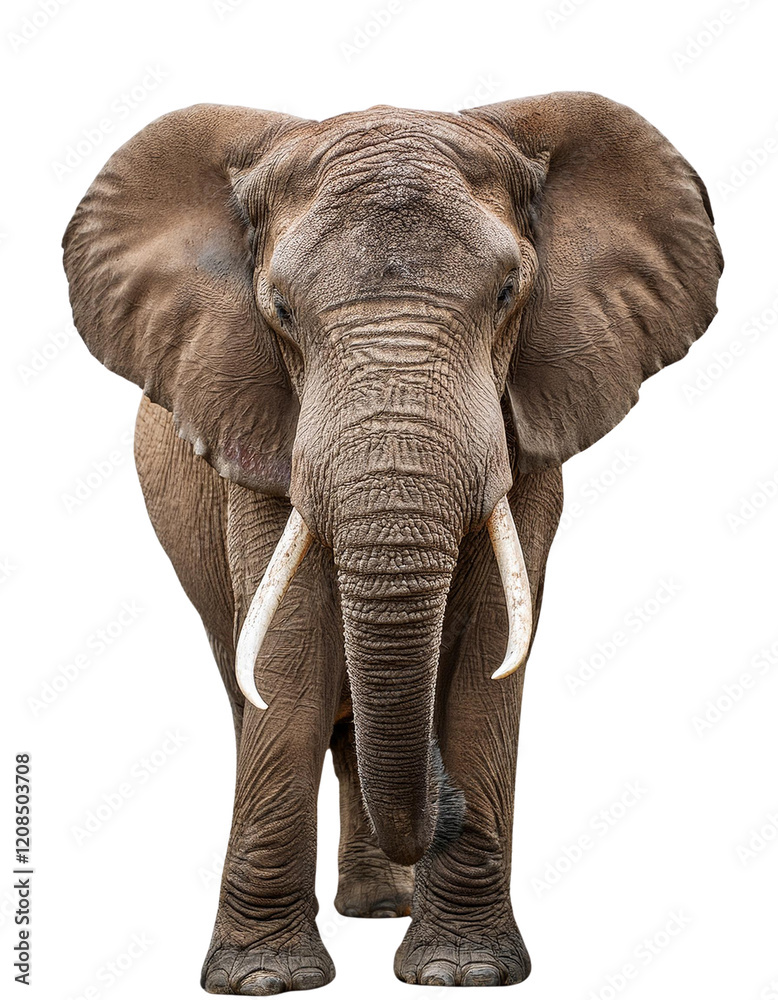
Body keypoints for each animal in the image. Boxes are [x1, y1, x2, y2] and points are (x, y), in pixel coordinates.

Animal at [62, 92, 722, 993]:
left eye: (510, 292)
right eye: (278, 311)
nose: (441, 815)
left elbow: (489, 651)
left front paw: (462, 971)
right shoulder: (256, 431)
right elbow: (290, 657)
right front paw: (264, 980)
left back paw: (383, 908)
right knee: (255, 689)